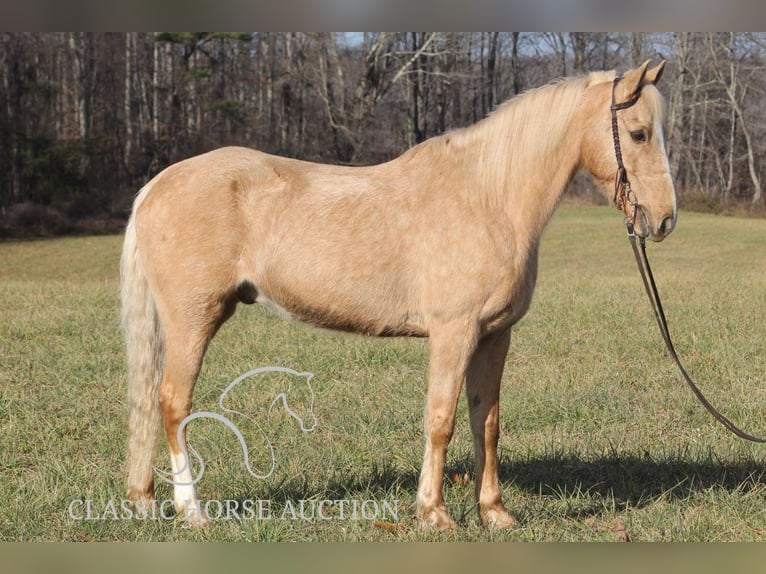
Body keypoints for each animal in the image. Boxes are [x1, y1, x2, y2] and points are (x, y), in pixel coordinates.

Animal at [121, 59, 680, 532]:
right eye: (638, 133)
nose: (664, 220)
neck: (487, 198)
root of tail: (156, 185)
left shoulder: (494, 336)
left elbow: (487, 422)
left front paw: (495, 513)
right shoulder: (453, 333)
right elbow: (441, 420)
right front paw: (433, 514)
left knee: (149, 401)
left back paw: (145, 500)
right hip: (194, 319)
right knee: (172, 403)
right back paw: (192, 511)